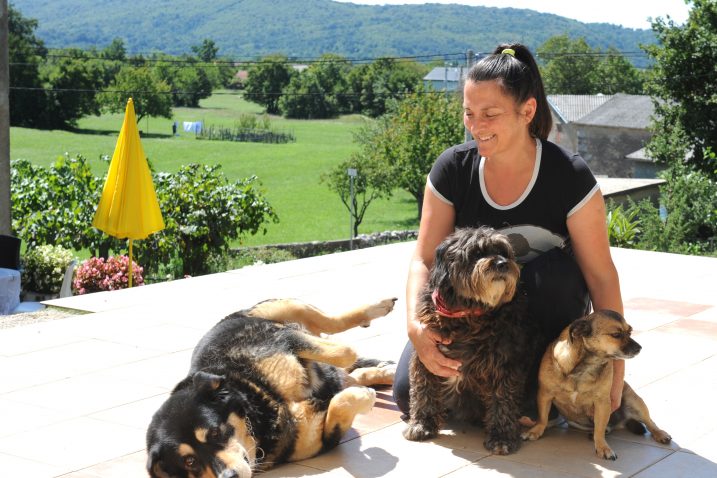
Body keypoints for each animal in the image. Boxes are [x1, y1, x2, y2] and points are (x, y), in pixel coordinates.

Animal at [146, 296, 398, 476]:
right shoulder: (323, 440)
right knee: (352, 373)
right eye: (189, 461)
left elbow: (345, 352)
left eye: (215, 432)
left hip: (284, 308)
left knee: (332, 324)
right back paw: (385, 372)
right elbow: (339, 402)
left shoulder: (286, 339)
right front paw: (364, 396)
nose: (228, 477)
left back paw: (378, 309)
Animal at [402, 228, 536, 456]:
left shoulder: (506, 366)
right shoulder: (425, 355)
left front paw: (502, 438)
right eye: (476, 253)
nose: (502, 264)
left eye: (503, 252)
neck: (469, 314)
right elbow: (423, 390)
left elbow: (503, 400)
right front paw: (421, 424)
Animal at [520, 308, 672, 462]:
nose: (639, 348)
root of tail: (622, 421)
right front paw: (536, 431)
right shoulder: (545, 394)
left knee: (650, 422)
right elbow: (543, 418)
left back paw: (661, 434)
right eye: (616, 335)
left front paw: (603, 448)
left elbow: (599, 430)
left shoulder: (602, 403)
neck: (587, 366)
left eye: (630, 332)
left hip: (635, 402)